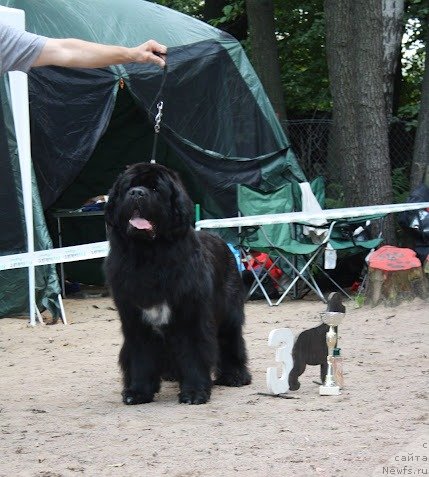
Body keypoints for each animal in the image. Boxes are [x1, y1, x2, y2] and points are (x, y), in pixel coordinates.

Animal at [104, 162, 251, 404]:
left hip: (229, 312)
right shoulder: (135, 320)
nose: (137, 193)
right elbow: (140, 357)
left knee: (230, 341)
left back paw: (235, 376)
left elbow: (193, 353)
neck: (148, 257)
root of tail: (223, 241)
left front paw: (194, 392)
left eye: (155, 189)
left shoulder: (190, 315)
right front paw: (137, 391)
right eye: (128, 187)